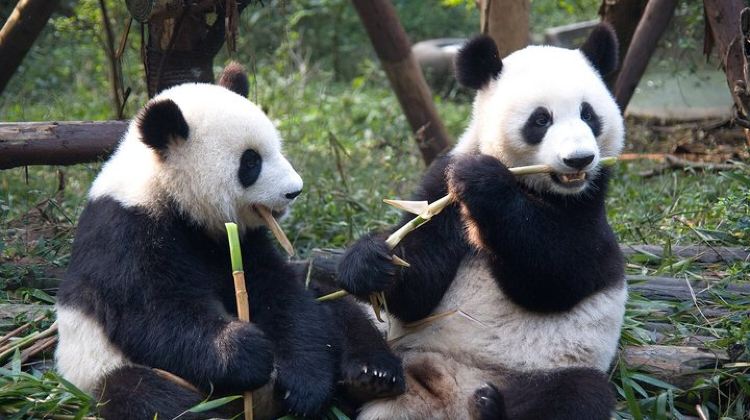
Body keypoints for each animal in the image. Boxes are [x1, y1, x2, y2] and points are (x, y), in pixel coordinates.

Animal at [55, 63, 404, 420]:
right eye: (251, 161)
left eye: (277, 148)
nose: (294, 191)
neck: (166, 191)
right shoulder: (125, 235)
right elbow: (154, 313)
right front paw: (244, 350)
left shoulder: (242, 239)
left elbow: (281, 295)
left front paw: (307, 384)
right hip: (103, 369)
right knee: (148, 397)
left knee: (333, 304)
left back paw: (371, 375)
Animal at [336, 24, 626, 420]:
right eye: (541, 119)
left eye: (589, 115)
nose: (579, 159)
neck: (533, 184)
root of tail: (445, 397)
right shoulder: (440, 188)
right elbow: (417, 289)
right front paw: (370, 262)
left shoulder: (589, 204)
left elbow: (561, 274)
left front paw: (484, 181)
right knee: (335, 317)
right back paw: (371, 375)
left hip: (543, 372)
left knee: (578, 394)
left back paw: (490, 406)